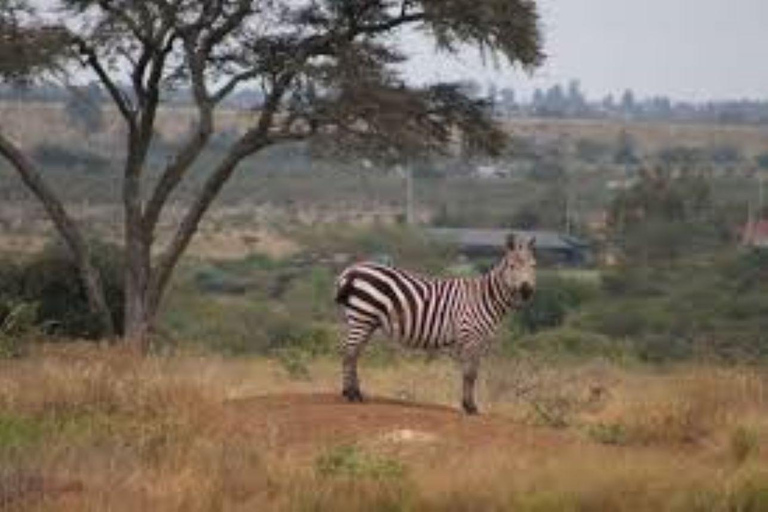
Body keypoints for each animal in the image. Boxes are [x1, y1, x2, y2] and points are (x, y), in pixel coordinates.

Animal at [332, 234, 536, 414]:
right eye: (512, 266)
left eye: (533, 265)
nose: (527, 291)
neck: (485, 298)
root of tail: (351, 270)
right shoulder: (470, 336)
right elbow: (469, 374)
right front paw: (470, 407)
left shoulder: (480, 340)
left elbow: (473, 372)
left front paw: (468, 405)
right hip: (362, 315)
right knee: (349, 353)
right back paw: (351, 395)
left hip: (366, 320)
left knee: (354, 353)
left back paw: (354, 393)